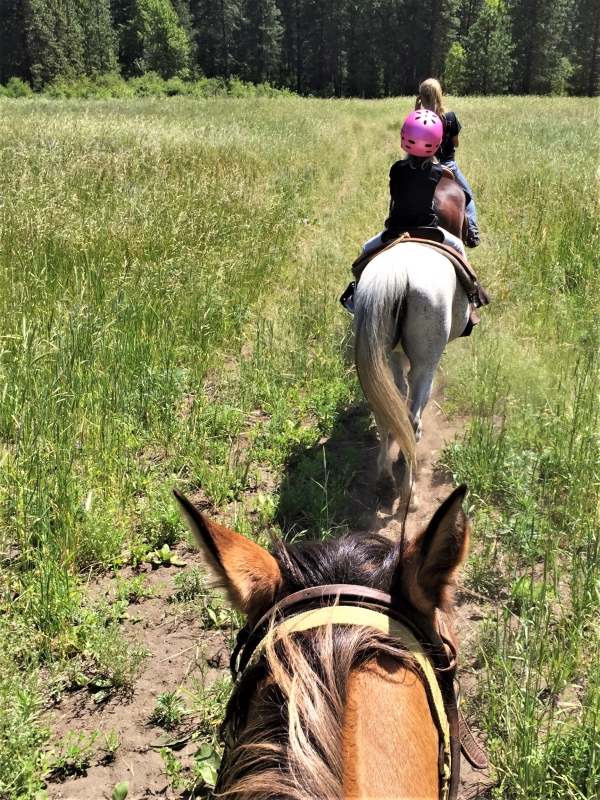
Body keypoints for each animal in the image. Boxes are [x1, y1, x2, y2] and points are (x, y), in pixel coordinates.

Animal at [354, 241, 472, 510]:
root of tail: (397, 272)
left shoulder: (394, 356)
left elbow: (398, 395)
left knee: (385, 413)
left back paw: (385, 480)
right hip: (425, 363)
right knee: (413, 420)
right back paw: (410, 493)